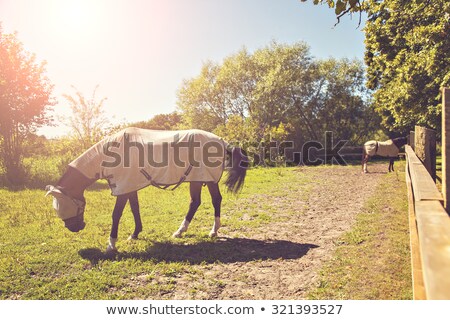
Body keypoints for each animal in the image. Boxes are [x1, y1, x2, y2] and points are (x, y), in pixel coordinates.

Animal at [45, 127, 250, 252]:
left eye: (65, 204)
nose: (74, 228)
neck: (109, 154)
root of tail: (222, 142)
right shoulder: (129, 187)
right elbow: (135, 209)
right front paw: (134, 234)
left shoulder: (123, 188)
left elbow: (116, 214)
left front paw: (111, 245)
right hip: (196, 180)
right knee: (195, 202)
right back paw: (180, 231)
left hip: (207, 179)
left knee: (215, 200)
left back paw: (213, 231)